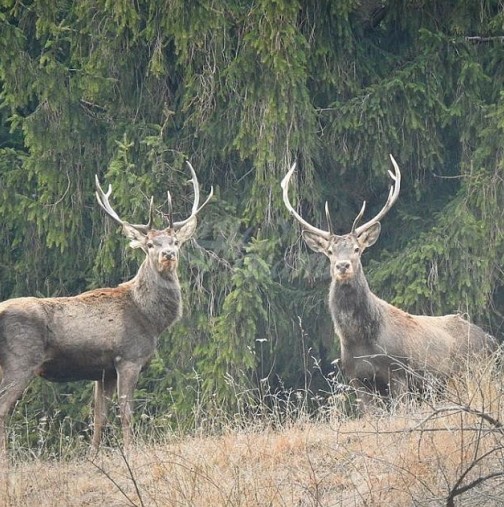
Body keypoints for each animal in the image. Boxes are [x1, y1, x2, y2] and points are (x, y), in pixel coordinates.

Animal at [0, 162, 213, 452]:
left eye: (176, 242)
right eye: (149, 244)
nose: (168, 254)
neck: (150, 319)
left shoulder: (103, 372)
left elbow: (99, 416)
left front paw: (94, 453)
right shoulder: (129, 358)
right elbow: (126, 412)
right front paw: (130, 450)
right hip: (21, 359)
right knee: (3, 409)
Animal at [282, 157, 498, 410]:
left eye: (357, 249)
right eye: (330, 251)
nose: (343, 266)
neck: (361, 342)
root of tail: (493, 341)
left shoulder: (399, 373)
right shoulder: (357, 379)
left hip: (473, 373)